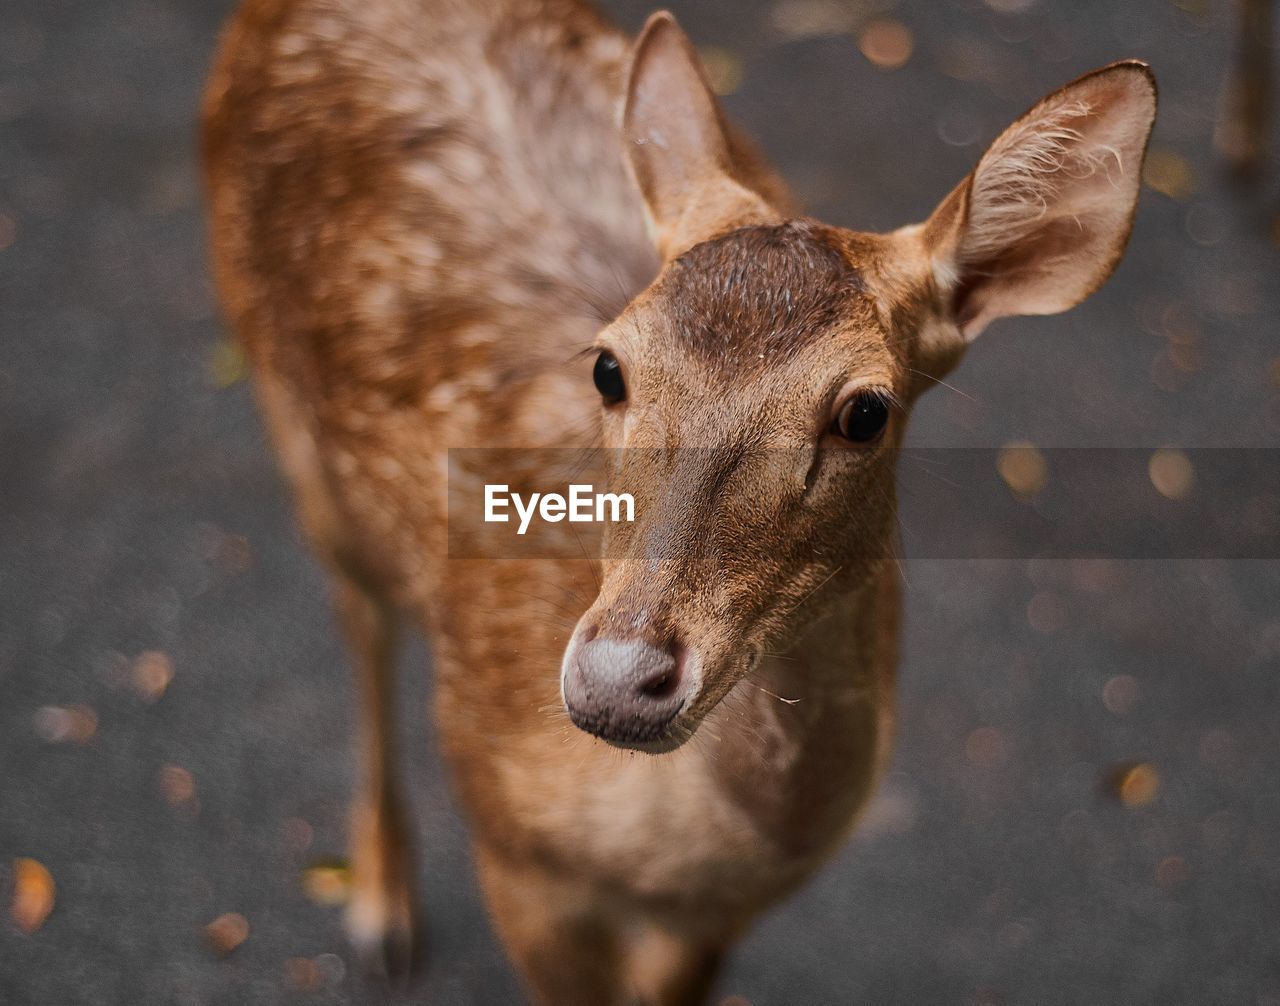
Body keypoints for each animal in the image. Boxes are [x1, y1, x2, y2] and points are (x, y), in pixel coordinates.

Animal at [199, 1, 1162, 993]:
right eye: (608, 365)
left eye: (865, 411)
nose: (618, 682)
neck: (661, 857)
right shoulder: (514, 854)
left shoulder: (716, 918)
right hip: (291, 417)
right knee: (359, 618)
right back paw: (381, 905)